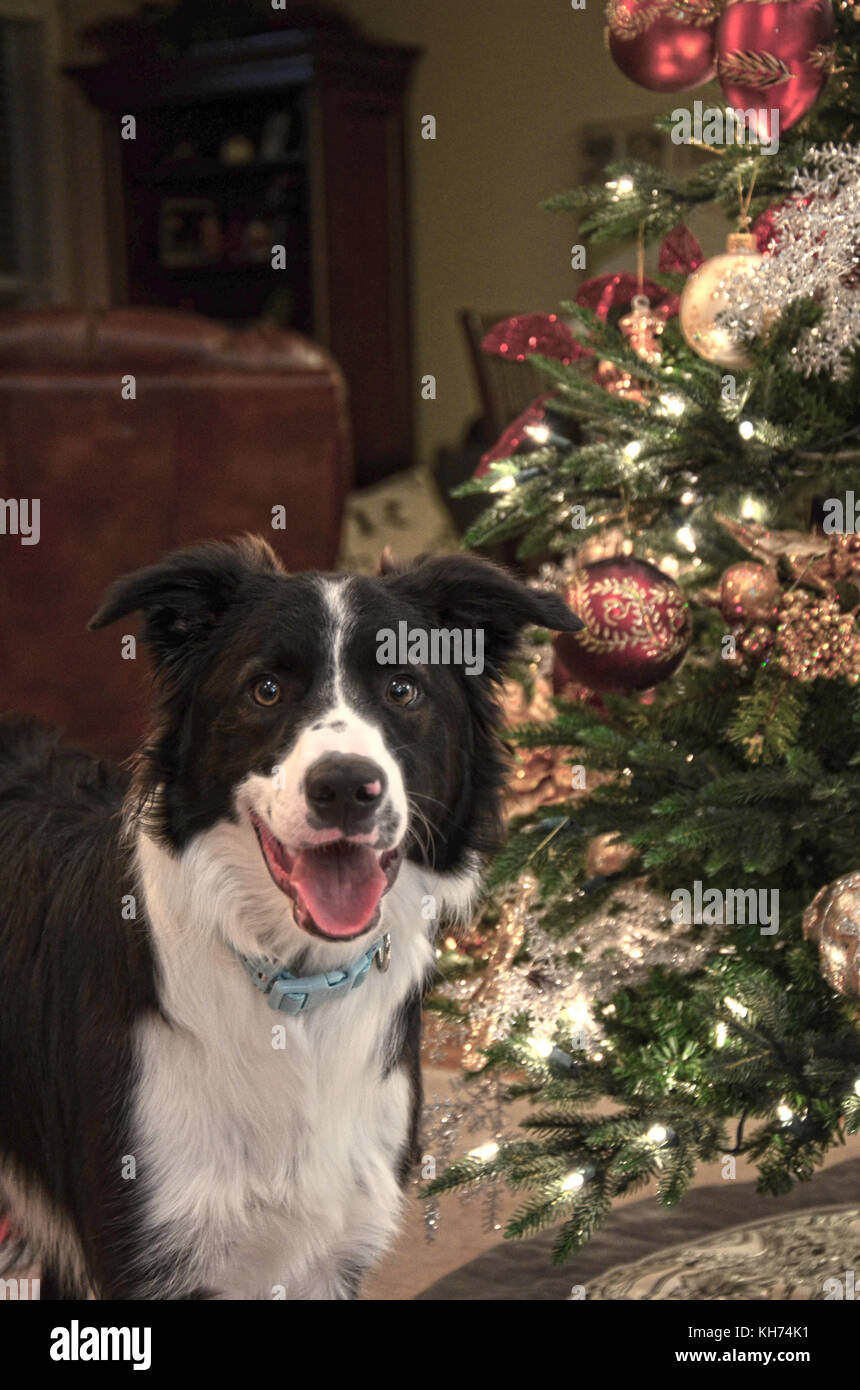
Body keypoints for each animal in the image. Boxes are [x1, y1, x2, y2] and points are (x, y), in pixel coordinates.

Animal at [0, 536, 586, 1295]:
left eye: (403, 689)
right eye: (266, 690)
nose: (345, 786)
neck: (297, 990)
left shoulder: (332, 1250)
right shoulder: (144, 1254)